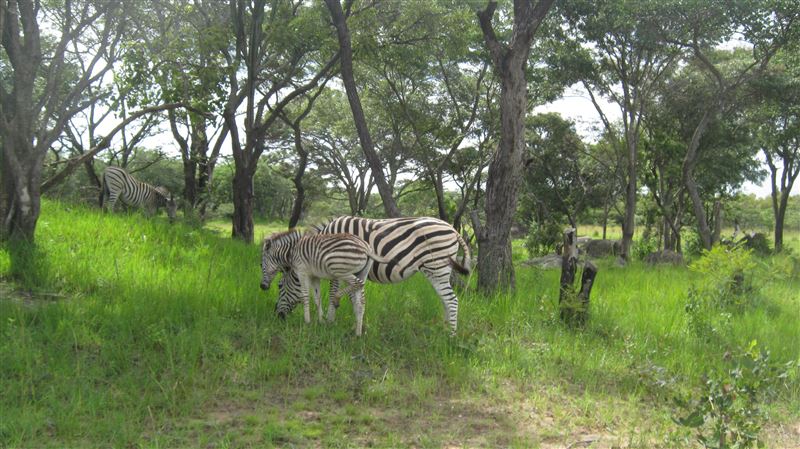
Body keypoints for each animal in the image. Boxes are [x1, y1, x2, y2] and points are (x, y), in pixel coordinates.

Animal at [260, 230, 393, 336]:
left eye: (280, 286)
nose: (262, 286)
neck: (292, 252)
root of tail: (366, 247)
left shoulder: (302, 272)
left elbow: (305, 296)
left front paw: (307, 322)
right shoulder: (314, 276)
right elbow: (317, 298)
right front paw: (321, 321)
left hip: (339, 269)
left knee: (358, 284)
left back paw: (337, 298)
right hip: (361, 272)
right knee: (360, 302)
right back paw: (358, 334)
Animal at [276, 216, 472, 334]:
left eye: (279, 286)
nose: (278, 316)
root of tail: (452, 229)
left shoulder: (337, 266)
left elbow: (334, 293)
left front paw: (331, 320)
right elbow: (354, 297)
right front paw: (355, 324)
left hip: (437, 266)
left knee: (452, 300)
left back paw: (451, 336)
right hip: (437, 271)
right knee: (445, 300)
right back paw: (443, 329)